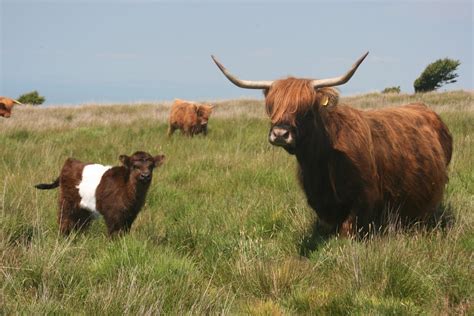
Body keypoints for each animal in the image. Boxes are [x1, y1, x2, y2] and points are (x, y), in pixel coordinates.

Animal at [34, 152, 165, 236]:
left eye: (151, 166)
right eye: (135, 166)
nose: (145, 176)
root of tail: (70, 161)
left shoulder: (130, 215)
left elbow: (124, 232)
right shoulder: (112, 214)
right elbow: (114, 233)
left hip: (83, 208)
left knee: (80, 224)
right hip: (66, 202)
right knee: (64, 220)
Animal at [213, 51, 454, 236]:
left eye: (307, 109)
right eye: (271, 107)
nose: (280, 133)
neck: (319, 163)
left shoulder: (364, 198)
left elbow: (347, 230)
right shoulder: (319, 202)